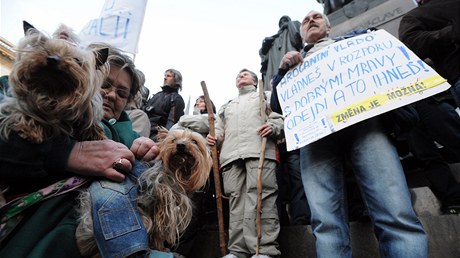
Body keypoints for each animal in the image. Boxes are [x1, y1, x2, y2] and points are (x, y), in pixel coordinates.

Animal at [75, 128, 212, 256]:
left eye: (194, 141)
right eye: (173, 140)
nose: (180, 145)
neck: (178, 171)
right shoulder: (159, 204)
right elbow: (158, 230)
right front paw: (161, 248)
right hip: (141, 219)